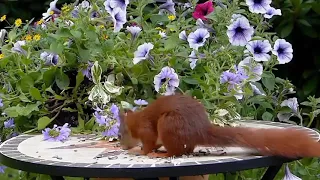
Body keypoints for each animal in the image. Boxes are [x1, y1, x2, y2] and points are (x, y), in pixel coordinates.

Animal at [119, 93, 320, 158]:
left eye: (120, 134)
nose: (121, 146)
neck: (135, 121)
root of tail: (201, 130)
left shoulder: (146, 130)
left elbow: (148, 143)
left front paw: (140, 151)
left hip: (168, 124)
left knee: (175, 151)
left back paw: (161, 154)